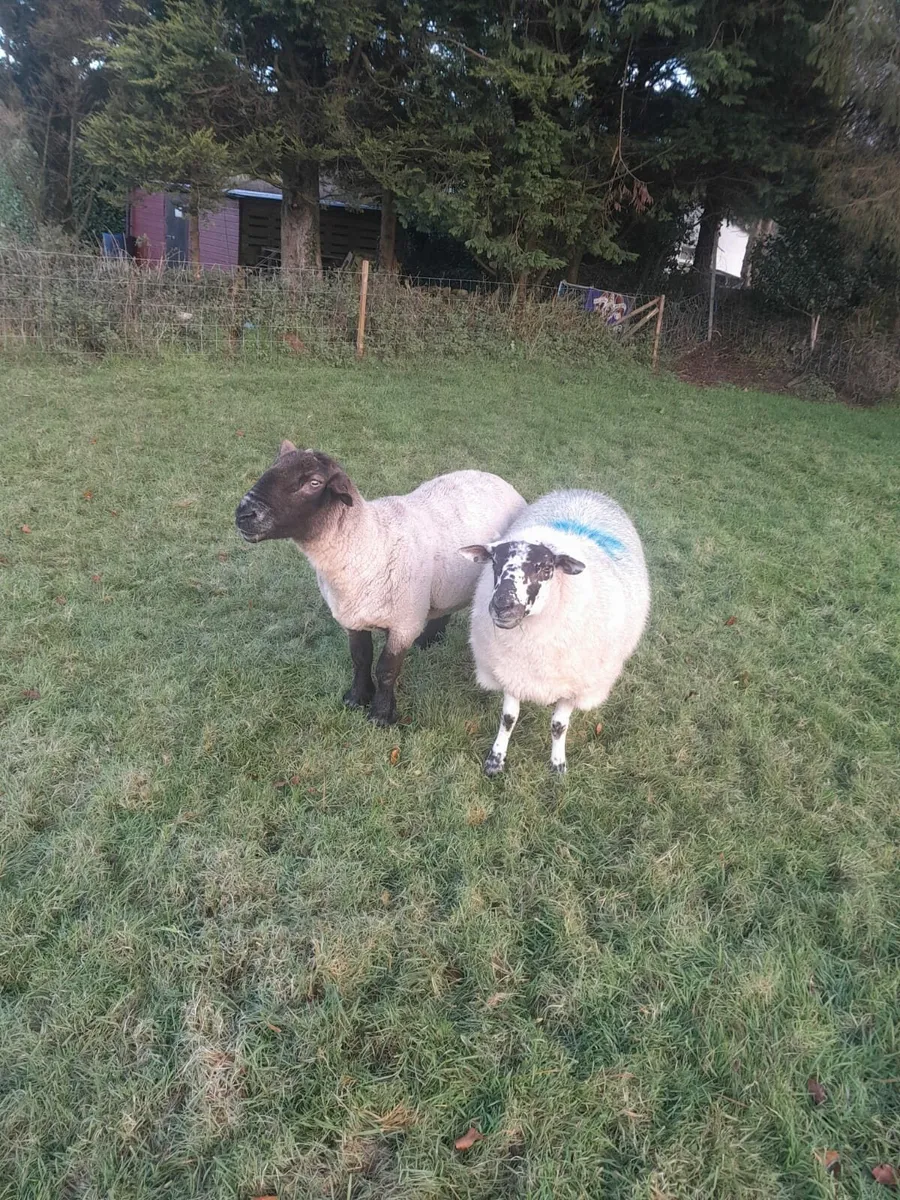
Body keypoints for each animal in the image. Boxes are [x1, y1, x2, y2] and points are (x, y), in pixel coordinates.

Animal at [236, 441, 526, 726]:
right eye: (273, 467)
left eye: (314, 482)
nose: (244, 514)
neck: (369, 542)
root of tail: (496, 478)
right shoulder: (352, 618)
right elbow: (361, 659)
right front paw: (356, 698)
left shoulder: (404, 624)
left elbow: (386, 669)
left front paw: (381, 714)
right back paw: (430, 638)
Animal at [460, 488, 650, 776]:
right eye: (494, 564)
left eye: (546, 569)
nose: (503, 606)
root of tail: (585, 492)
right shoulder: (511, 672)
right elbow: (508, 719)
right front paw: (495, 760)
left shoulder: (573, 686)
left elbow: (558, 726)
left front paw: (558, 765)